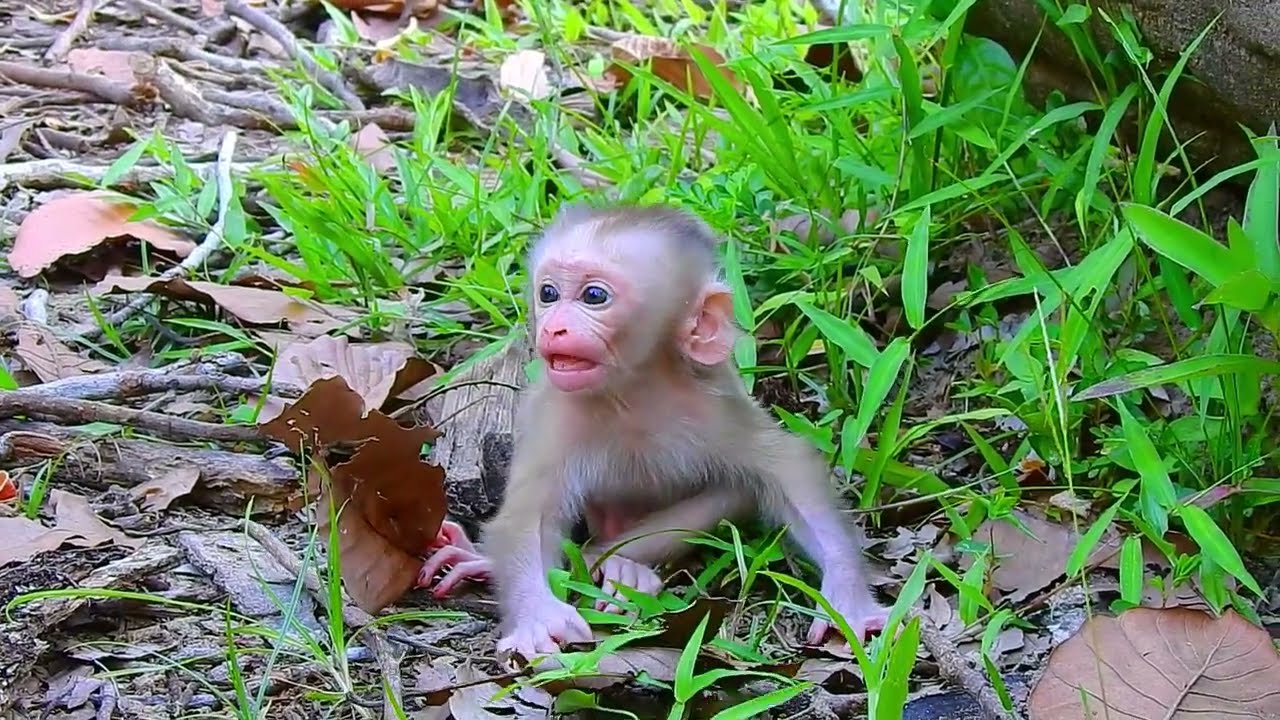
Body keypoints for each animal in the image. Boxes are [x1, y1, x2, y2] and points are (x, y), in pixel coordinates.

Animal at [421, 203, 889, 659]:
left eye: (594, 296)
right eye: (548, 293)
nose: (553, 327)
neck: (630, 391)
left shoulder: (713, 401)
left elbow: (789, 468)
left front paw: (847, 599)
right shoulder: (558, 414)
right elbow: (525, 518)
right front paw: (537, 615)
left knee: (735, 490)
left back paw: (620, 565)